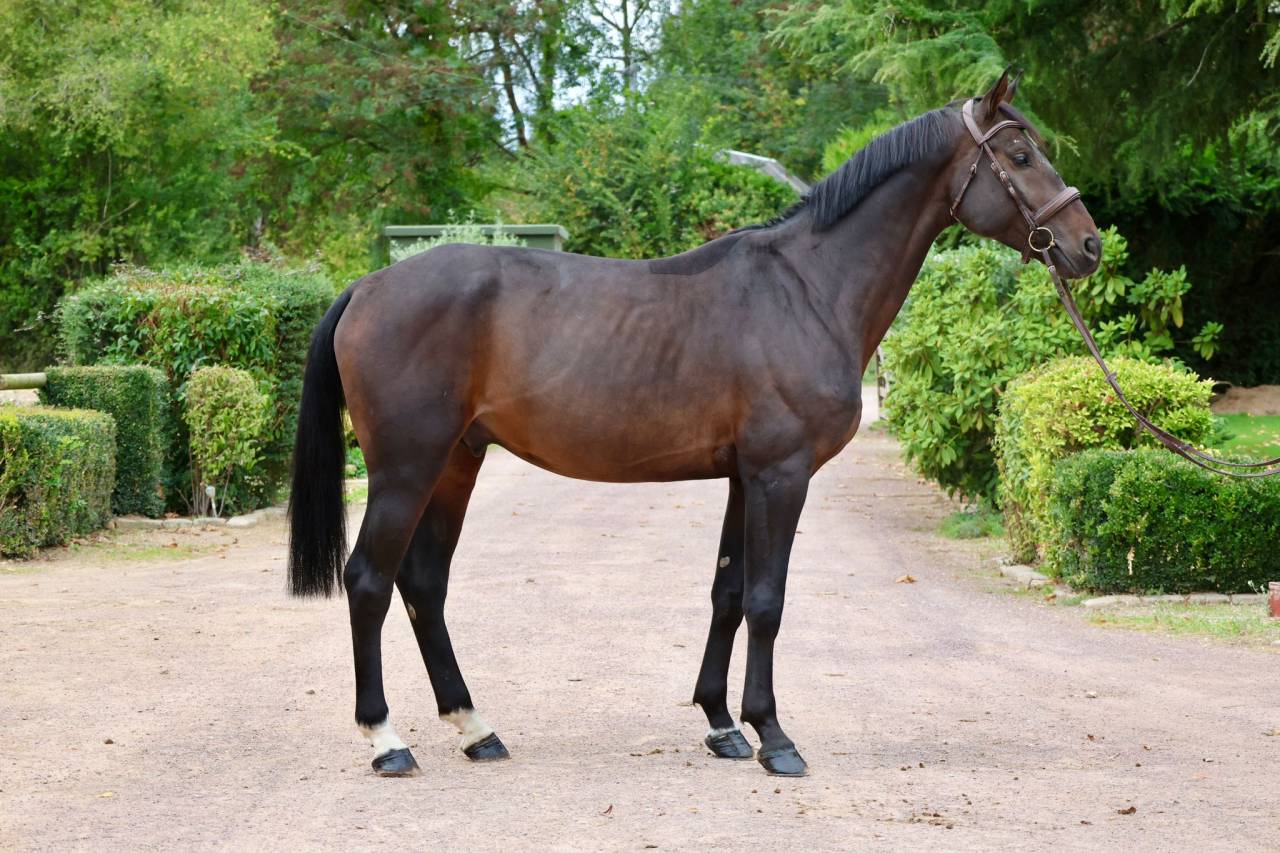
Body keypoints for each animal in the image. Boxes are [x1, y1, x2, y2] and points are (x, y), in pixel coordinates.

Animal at [287, 70, 1101, 778]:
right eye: (1020, 155)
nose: (1087, 244)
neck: (808, 287)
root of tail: (367, 286)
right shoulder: (781, 475)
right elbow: (767, 601)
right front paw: (774, 737)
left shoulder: (747, 476)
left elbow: (729, 593)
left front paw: (721, 725)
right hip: (406, 468)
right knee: (370, 580)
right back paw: (386, 740)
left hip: (457, 461)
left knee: (424, 583)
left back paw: (475, 727)